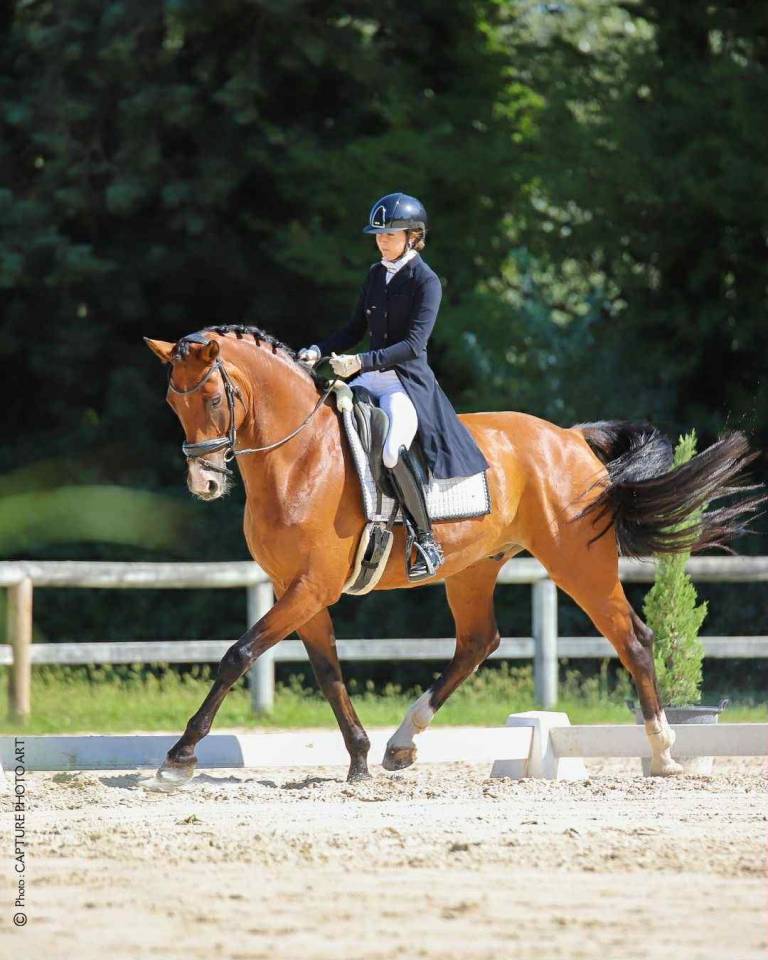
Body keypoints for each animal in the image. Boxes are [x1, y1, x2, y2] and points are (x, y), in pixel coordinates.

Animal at [144, 324, 764, 788]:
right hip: (472, 569)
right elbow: (328, 672)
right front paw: (359, 758)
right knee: (477, 642)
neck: (300, 458)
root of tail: (570, 437)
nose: (204, 483)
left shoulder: (312, 586)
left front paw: (179, 758)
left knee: (632, 636)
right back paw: (400, 744)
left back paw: (664, 752)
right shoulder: (295, 588)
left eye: (213, 398)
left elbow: (238, 654)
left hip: (578, 562)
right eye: (172, 402)